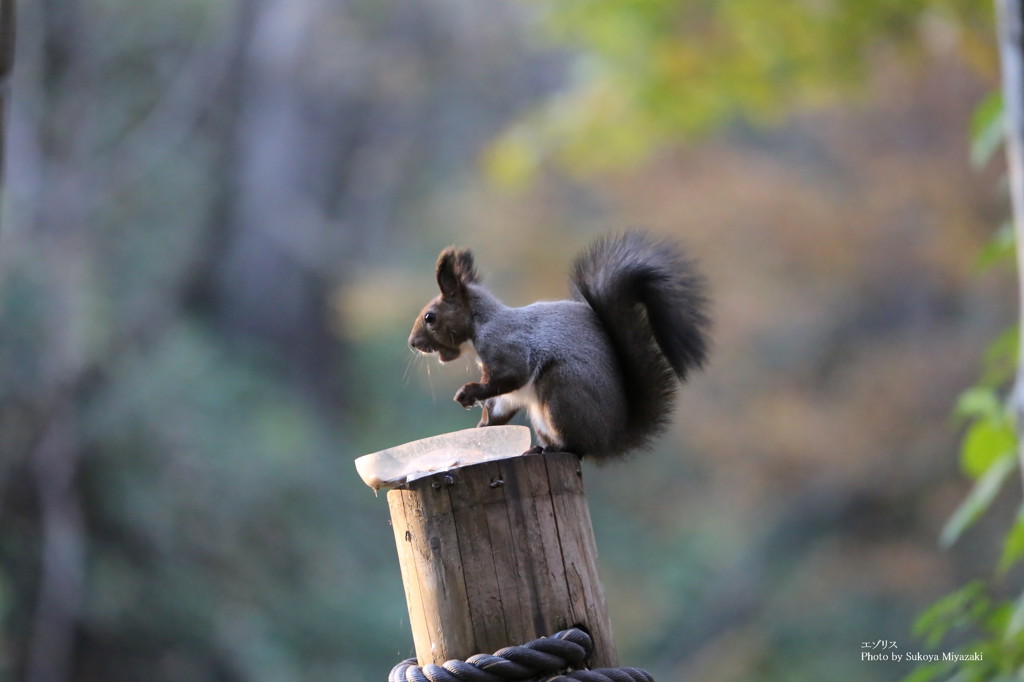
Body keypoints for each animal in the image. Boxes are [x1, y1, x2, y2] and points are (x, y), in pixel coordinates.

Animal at [403, 231, 708, 458]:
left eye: (430, 317)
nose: (413, 344)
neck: (481, 322)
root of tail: (611, 440)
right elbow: (501, 404)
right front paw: (480, 432)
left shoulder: (505, 345)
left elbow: (511, 376)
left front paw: (468, 393)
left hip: (561, 390)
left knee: (577, 448)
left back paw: (552, 449)